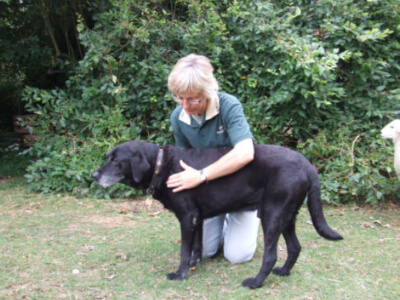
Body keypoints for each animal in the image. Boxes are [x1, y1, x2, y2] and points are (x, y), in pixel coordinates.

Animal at [92, 142, 342, 290]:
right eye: (108, 157)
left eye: (116, 160)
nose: (94, 175)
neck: (162, 166)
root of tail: (307, 165)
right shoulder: (197, 217)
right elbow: (197, 246)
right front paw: (195, 264)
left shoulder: (187, 217)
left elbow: (183, 250)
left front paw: (180, 274)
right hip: (287, 216)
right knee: (295, 247)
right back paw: (284, 271)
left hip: (272, 213)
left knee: (271, 255)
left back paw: (256, 282)